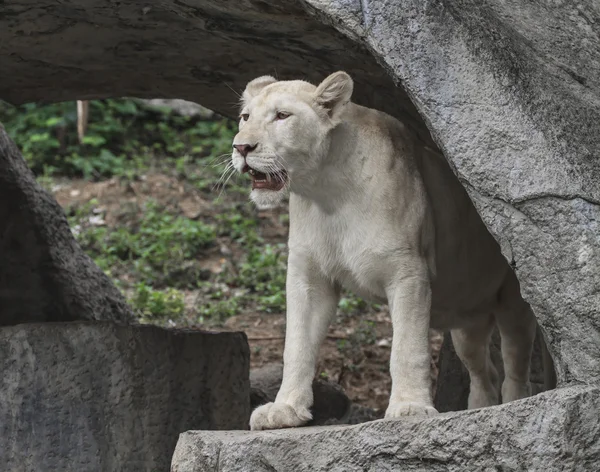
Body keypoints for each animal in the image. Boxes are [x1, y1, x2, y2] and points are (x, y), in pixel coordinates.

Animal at [232, 71, 552, 432]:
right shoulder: (310, 276)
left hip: (513, 300)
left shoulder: (408, 271)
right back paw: (477, 410)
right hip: (467, 324)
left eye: (282, 116)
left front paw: (410, 407)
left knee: (515, 366)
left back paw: (514, 406)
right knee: (486, 372)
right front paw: (284, 410)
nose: (241, 147)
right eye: (246, 117)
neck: (327, 192)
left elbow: (407, 346)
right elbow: (297, 345)